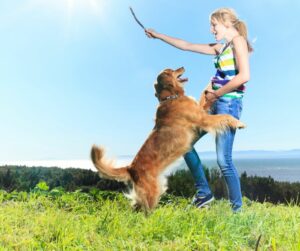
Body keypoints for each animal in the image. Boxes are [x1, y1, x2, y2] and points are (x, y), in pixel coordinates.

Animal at [90, 67, 245, 212]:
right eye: (171, 70)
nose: (182, 66)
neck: (171, 97)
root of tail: (130, 168)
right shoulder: (203, 119)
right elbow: (224, 117)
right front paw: (239, 123)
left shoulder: (200, 111)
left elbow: (204, 101)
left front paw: (209, 92)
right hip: (152, 191)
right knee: (145, 211)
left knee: (135, 206)